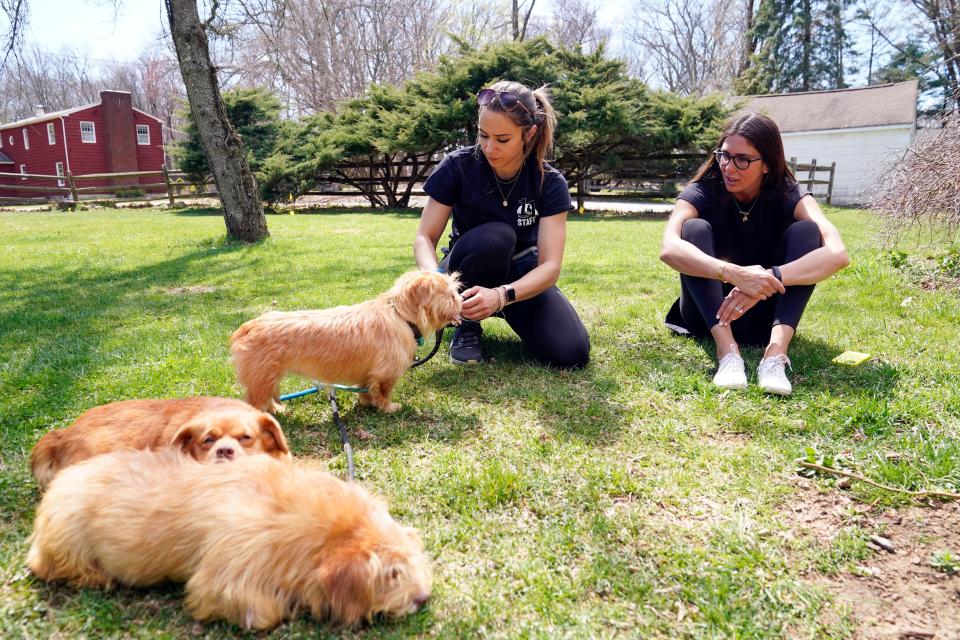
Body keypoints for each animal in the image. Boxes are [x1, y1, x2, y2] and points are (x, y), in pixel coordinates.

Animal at [27, 450, 432, 632]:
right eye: (391, 574)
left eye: (413, 562)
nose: (423, 598)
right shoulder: (225, 579)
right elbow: (264, 612)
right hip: (67, 542)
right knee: (48, 566)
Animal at [229, 268, 462, 412]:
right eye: (450, 295)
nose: (462, 299)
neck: (399, 315)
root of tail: (245, 328)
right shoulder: (385, 374)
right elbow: (384, 393)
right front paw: (388, 408)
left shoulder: (368, 375)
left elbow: (367, 388)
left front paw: (366, 402)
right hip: (262, 379)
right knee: (254, 403)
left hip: (267, 379)